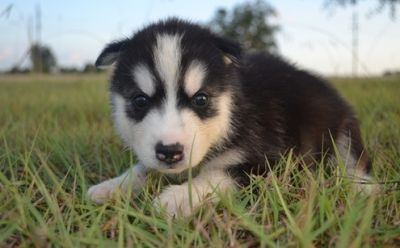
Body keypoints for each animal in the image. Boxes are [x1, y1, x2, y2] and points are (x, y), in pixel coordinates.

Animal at [88, 18, 376, 217]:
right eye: (140, 101)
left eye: (201, 99)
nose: (169, 152)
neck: (233, 115)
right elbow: (142, 168)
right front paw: (112, 186)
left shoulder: (268, 163)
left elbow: (219, 177)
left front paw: (177, 198)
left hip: (342, 128)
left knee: (353, 160)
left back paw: (363, 189)